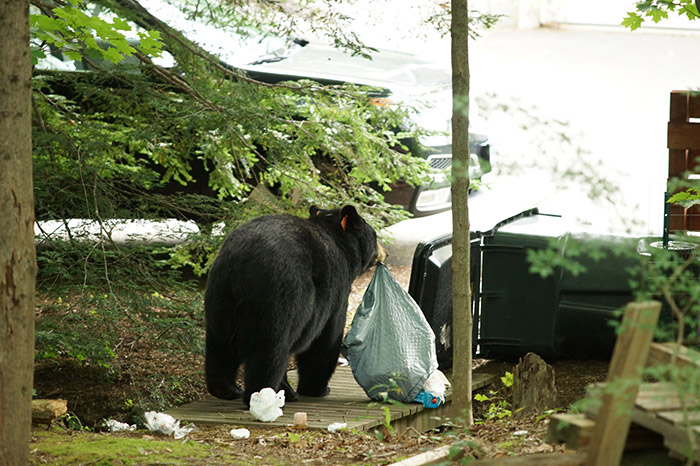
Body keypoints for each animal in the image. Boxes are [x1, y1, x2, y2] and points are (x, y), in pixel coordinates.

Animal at [202, 204, 388, 404]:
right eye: (375, 235)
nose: (385, 252)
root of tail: (240, 265)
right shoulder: (335, 290)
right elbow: (326, 339)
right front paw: (317, 388)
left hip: (219, 297)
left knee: (220, 345)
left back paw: (226, 389)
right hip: (278, 297)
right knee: (269, 350)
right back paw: (264, 395)